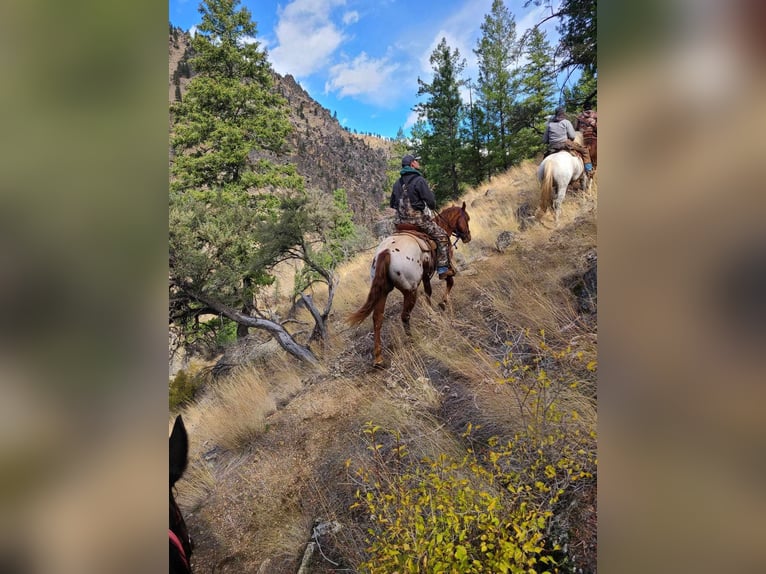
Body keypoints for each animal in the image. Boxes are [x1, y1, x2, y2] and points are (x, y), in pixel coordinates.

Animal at [350, 205, 472, 368]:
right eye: (467, 218)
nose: (468, 237)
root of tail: (385, 252)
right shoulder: (445, 266)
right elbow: (449, 281)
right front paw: (442, 304)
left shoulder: (426, 275)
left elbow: (428, 292)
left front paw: (431, 312)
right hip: (410, 290)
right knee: (404, 315)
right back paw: (411, 339)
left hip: (383, 291)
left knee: (377, 319)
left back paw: (378, 358)